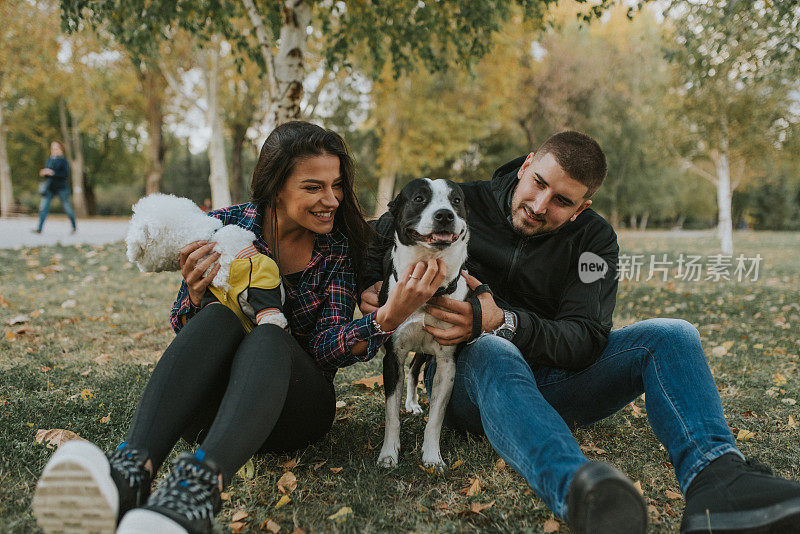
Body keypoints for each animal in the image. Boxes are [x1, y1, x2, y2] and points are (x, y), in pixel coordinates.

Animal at [376, 177, 468, 468]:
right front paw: (388, 454)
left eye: (456, 200)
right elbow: (391, 415)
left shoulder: (447, 363)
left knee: (416, 368)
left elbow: (436, 418)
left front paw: (432, 457)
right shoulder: (392, 356)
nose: (445, 215)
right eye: (419, 199)